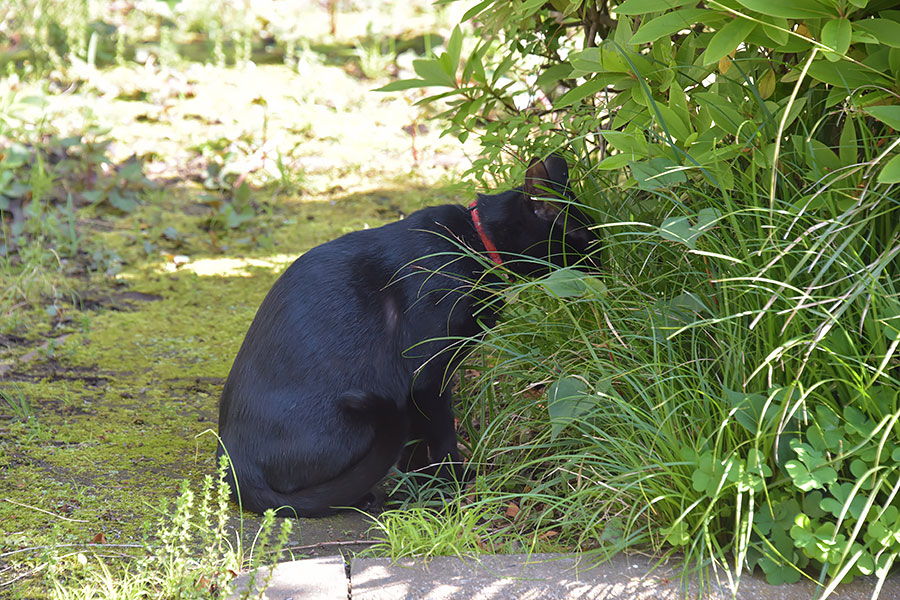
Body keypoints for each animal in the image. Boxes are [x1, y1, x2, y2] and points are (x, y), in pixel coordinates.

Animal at [217, 155, 596, 516]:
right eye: (583, 238)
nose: (604, 260)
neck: (472, 243)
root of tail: (235, 467)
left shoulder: (412, 389)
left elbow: (414, 442)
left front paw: (420, 484)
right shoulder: (426, 375)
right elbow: (442, 437)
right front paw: (452, 484)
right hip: (357, 421)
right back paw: (361, 495)